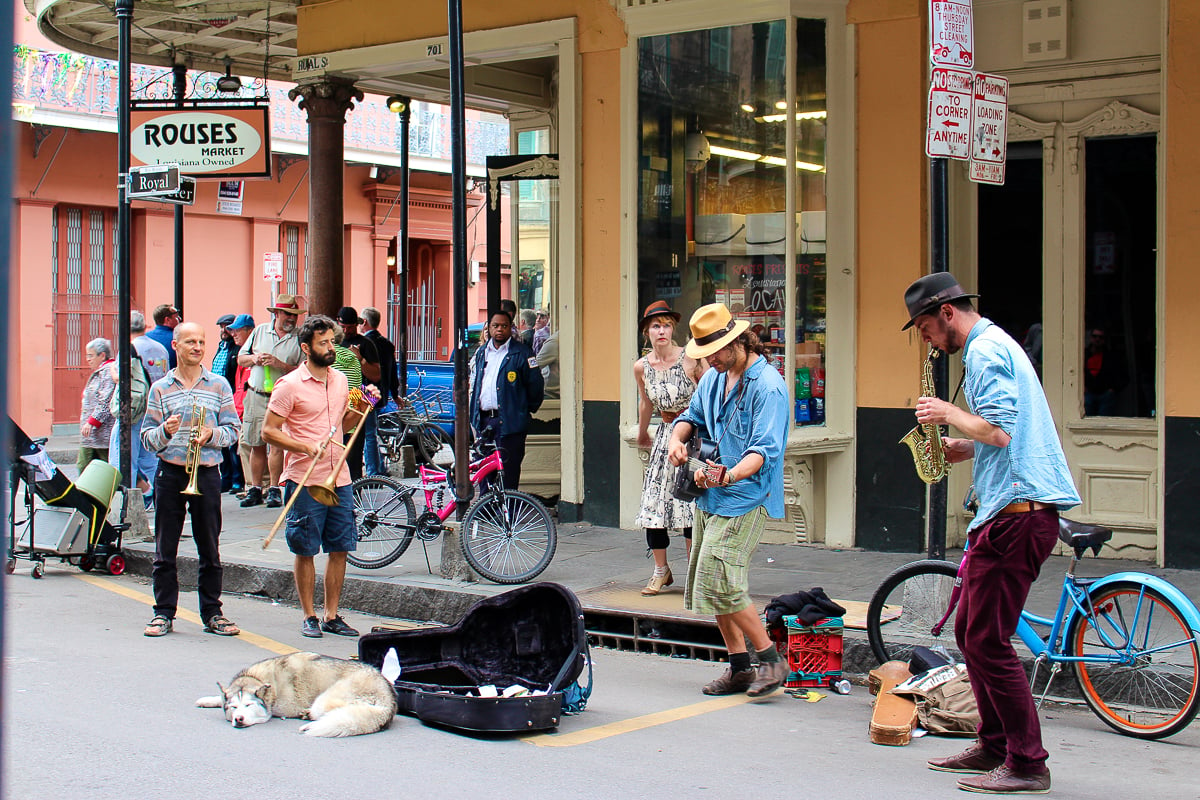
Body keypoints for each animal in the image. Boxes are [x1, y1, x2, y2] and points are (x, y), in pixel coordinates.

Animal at [196, 652, 398, 738]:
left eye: (249, 705)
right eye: (233, 707)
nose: (238, 719)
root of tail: (389, 695)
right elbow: (220, 696)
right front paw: (208, 700)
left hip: (324, 700)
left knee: (333, 714)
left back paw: (309, 720)